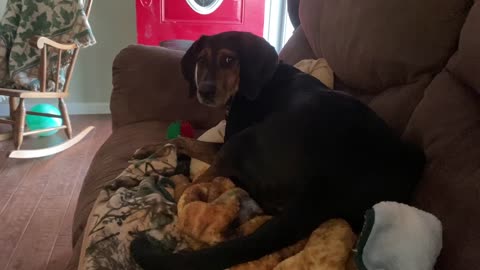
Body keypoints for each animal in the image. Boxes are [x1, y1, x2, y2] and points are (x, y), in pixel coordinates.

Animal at [129, 31, 426, 268]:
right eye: (201, 60)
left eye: (228, 60)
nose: (205, 91)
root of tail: (323, 191)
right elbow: (180, 139)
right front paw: (146, 150)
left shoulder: (226, 142)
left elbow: (182, 141)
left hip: (245, 140)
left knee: (189, 192)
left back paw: (176, 185)